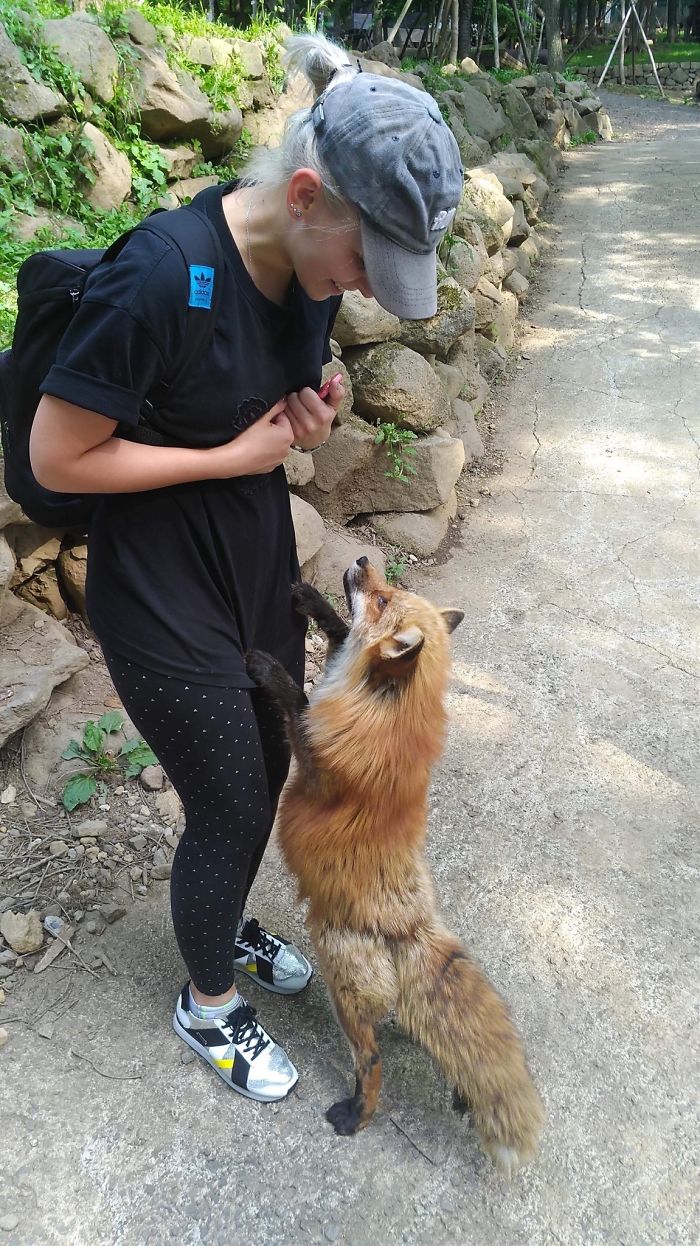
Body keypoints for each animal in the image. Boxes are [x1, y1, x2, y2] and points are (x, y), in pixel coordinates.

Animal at [246, 560, 545, 1171]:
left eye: (384, 600)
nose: (363, 561)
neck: (385, 709)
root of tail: (412, 926)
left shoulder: (315, 762)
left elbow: (298, 705)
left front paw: (270, 671)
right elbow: (339, 637)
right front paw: (312, 599)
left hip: (343, 991)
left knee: (373, 1063)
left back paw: (356, 1116)